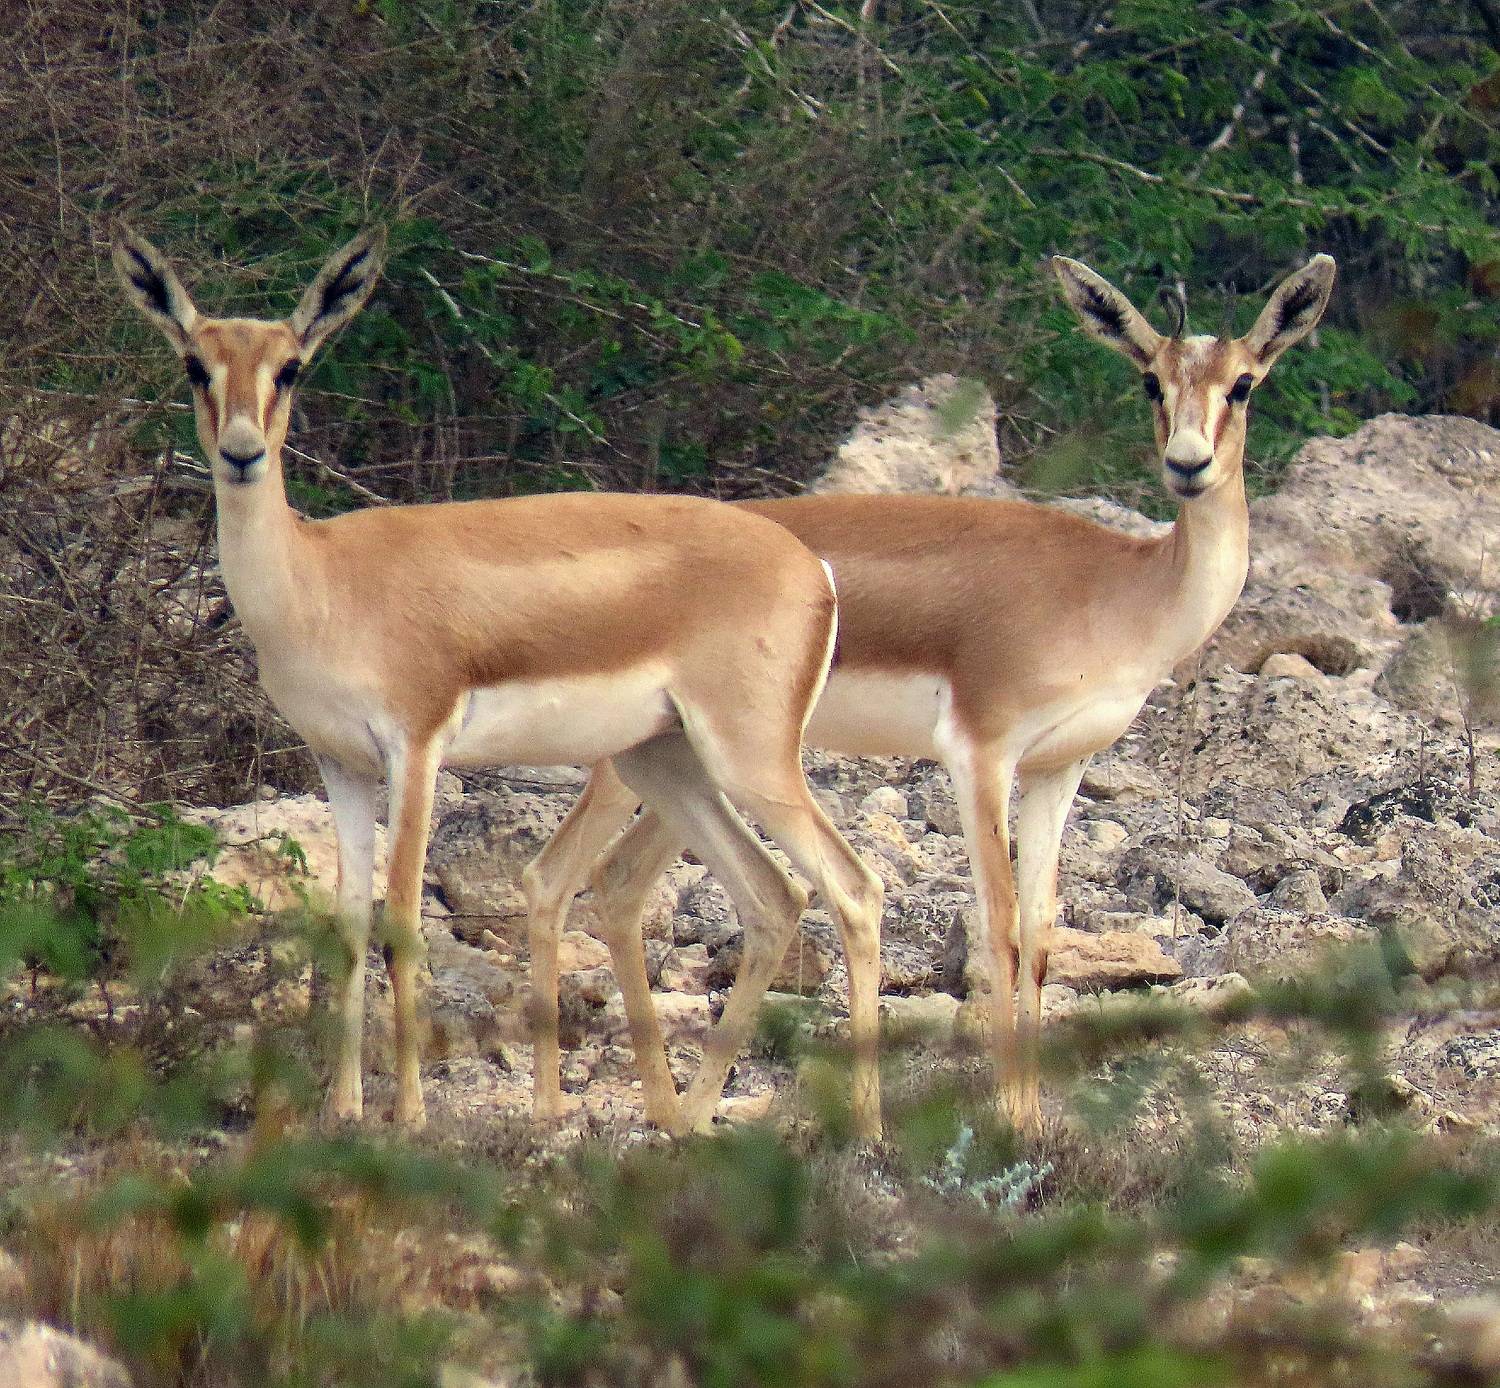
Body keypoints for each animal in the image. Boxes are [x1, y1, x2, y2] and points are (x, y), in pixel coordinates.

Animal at [112, 226, 884, 1134]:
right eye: (196, 364)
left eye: (291, 366)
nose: (241, 454)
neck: (321, 581)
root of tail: (813, 569)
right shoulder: (338, 763)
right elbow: (349, 922)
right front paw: (343, 1109)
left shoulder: (415, 747)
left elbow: (403, 917)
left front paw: (409, 1113)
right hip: (667, 763)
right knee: (771, 898)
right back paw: (687, 1118)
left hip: (750, 761)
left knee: (854, 888)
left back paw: (864, 1129)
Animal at [521, 252, 1336, 1135]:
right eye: (1151, 379)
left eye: (1244, 383)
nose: (1188, 465)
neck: (1118, 588)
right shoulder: (981, 754)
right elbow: (1000, 930)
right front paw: (1009, 1123)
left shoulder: (1061, 769)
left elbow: (1041, 937)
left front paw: (1035, 1123)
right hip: (642, 764)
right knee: (553, 877)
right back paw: (559, 1112)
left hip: (700, 772)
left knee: (622, 883)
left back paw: (669, 1112)